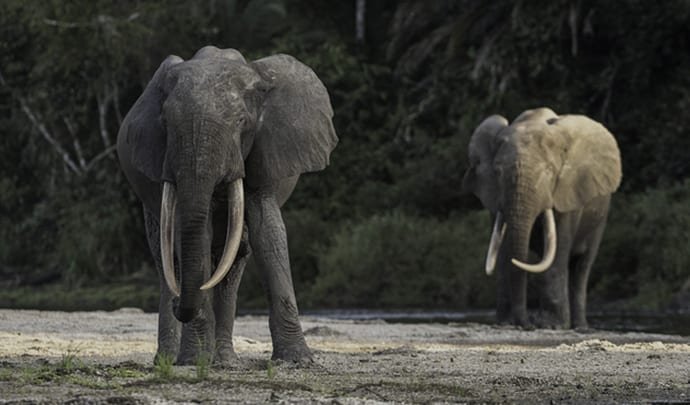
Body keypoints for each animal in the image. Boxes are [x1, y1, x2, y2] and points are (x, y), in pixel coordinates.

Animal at [116, 46, 338, 365]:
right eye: (166, 124)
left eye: (241, 123)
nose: (179, 302)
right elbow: (192, 235)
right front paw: (193, 361)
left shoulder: (263, 150)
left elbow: (267, 231)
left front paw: (296, 361)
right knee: (166, 256)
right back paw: (171, 359)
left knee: (234, 260)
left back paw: (224, 361)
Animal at [463, 108, 621, 329]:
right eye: (498, 172)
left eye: (548, 171)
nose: (525, 324)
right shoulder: (495, 197)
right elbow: (502, 251)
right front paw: (506, 322)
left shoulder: (567, 192)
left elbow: (558, 249)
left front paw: (551, 325)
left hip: (600, 216)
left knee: (582, 267)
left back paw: (580, 327)